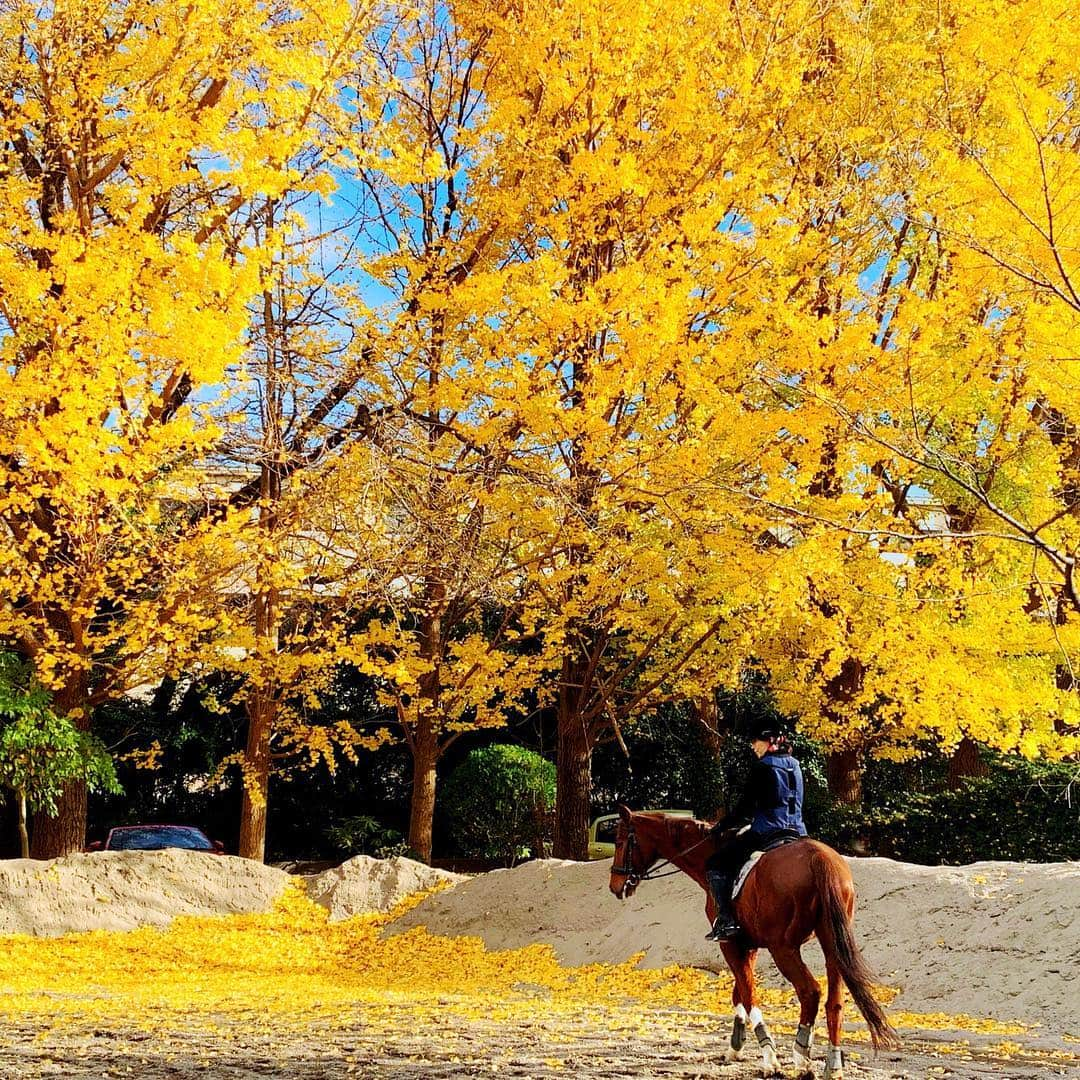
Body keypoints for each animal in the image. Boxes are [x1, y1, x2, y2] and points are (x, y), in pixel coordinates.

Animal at [613, 807, 898, 1075]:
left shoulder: (729, 943)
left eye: (619, 842)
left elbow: (748, 993)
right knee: (834, 1002)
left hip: (783, 948)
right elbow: (739, 990)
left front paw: (769, 1057)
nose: (615, 886)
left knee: (810, 992)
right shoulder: (748, 945)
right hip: (830, 943)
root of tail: (819, 857)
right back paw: (833, 1065)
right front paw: (736, 1046)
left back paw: (801, 1056)